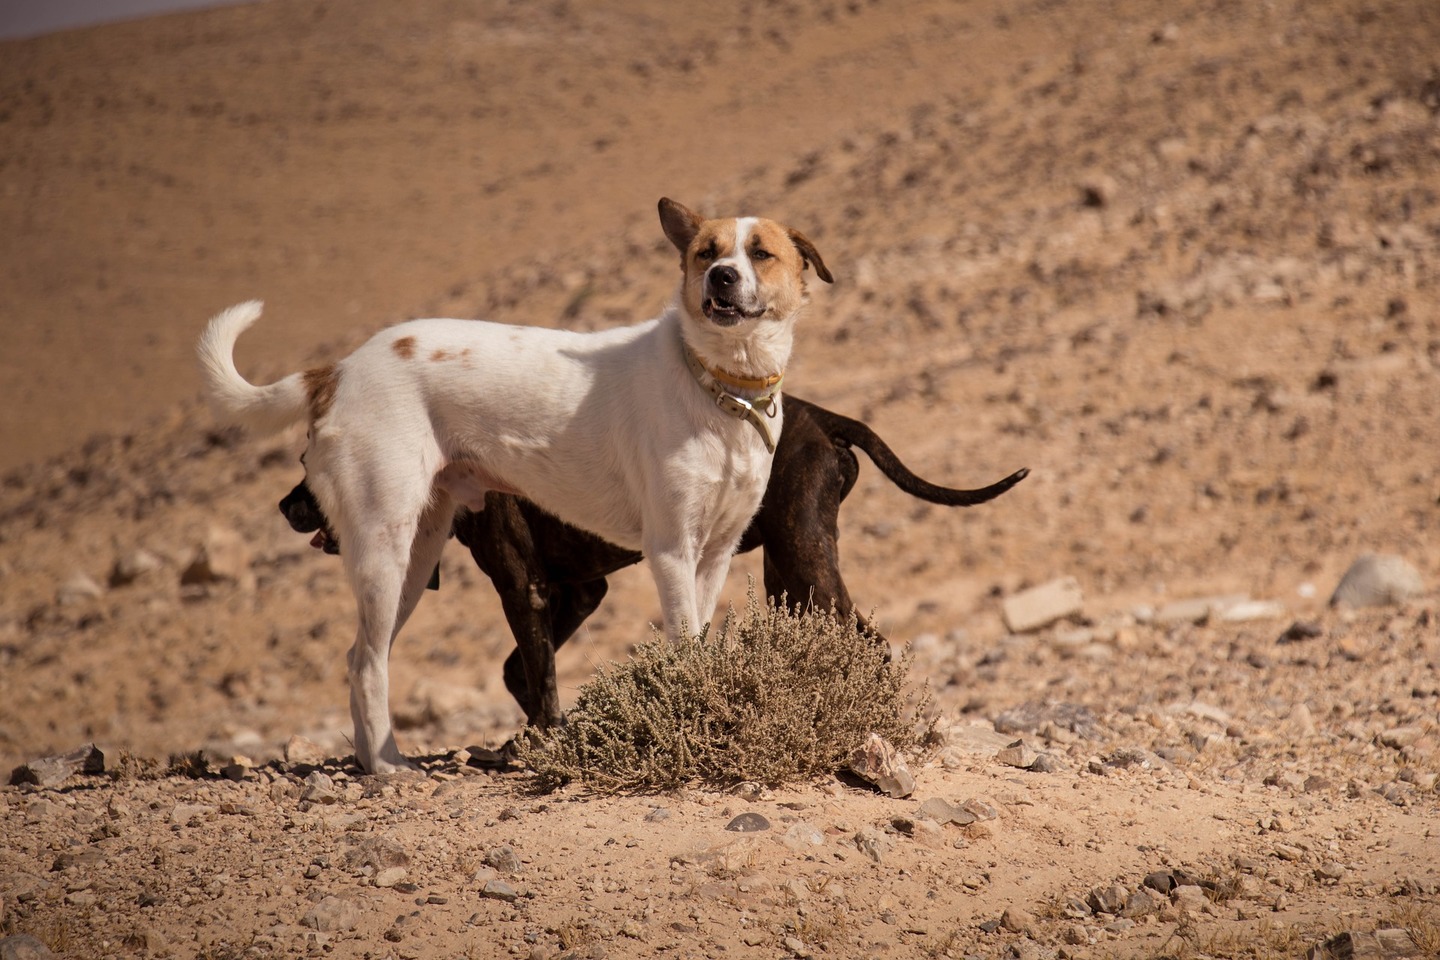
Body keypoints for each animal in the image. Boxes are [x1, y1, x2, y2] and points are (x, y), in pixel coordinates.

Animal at [200, 197, 835, 771]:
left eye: (760, 253)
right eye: (707, 252)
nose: (722, 276)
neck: (719, 384)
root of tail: (340, 369)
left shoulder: (716, 553)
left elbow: (700, 642)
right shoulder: (671, 550)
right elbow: (683, 647)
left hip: (418, 554)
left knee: (360, 652)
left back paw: (373, 759)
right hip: (384, 544)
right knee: (367, 662)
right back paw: (386, 769)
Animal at [277, 397, 1025, 728]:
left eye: (317, 463)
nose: (287, 506)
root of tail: (819, 415)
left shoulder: (526, 586)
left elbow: (536, 670)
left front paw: (542, 739)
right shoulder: (578, 590)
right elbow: (522, 668)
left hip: (802, 558)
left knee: (867, 639)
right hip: (786, 575)